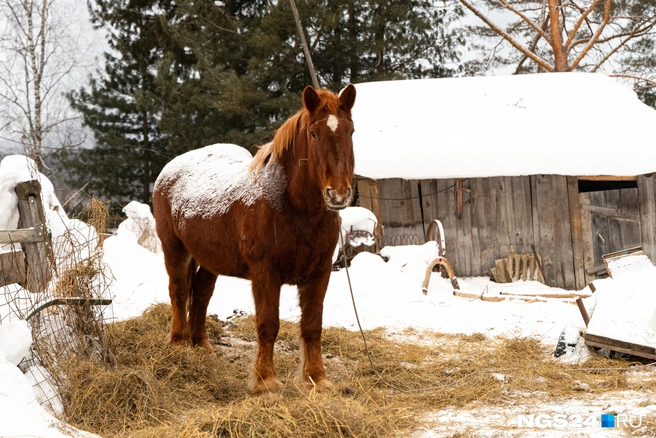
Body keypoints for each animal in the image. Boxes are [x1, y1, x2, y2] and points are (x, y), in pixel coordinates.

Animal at [151, 84, 356, 392]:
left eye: (351, 131)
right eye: (313, 133)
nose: (338, 194)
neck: (291, 206)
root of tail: (169, 169)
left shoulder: (319, 273)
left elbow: (312, 326)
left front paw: (316, 379)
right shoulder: (265, 274)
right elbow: (268, 325)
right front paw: (265, 381)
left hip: (211, 259)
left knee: (201, 292)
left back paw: (202, 346)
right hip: (174, 248)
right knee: (179, 291)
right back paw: (178, 344)